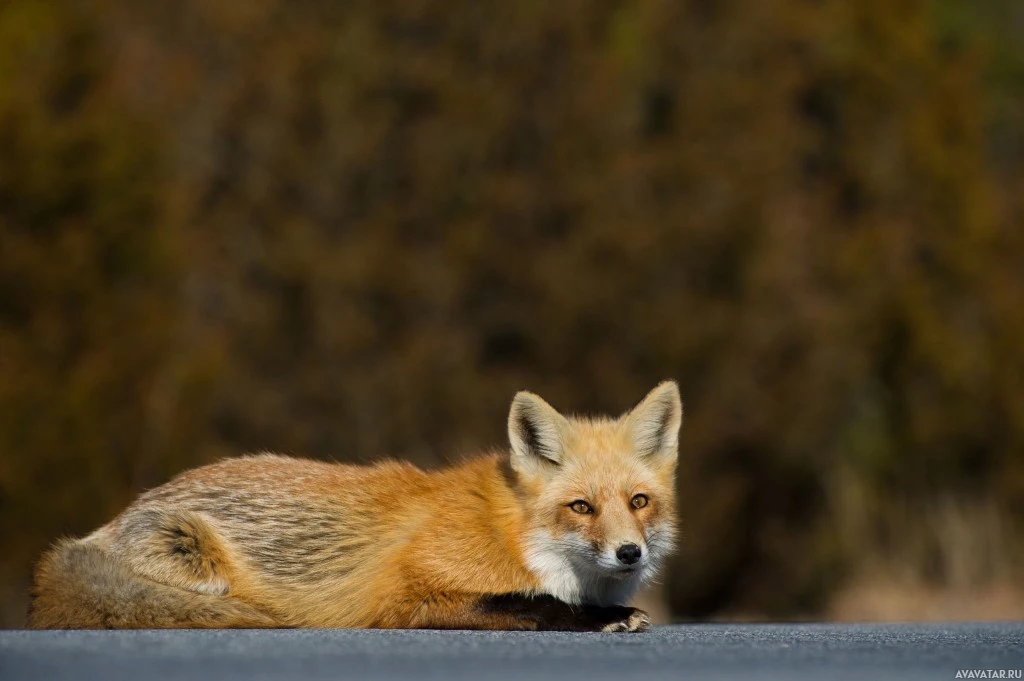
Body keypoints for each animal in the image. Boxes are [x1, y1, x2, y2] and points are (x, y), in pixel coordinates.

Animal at [25, 378, 679, 630]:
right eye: (581, 507)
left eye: (639, 501)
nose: (629, 553)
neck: (514, 533)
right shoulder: (416, 593)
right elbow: (531, 603)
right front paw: (599, 618)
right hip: (198, 558)